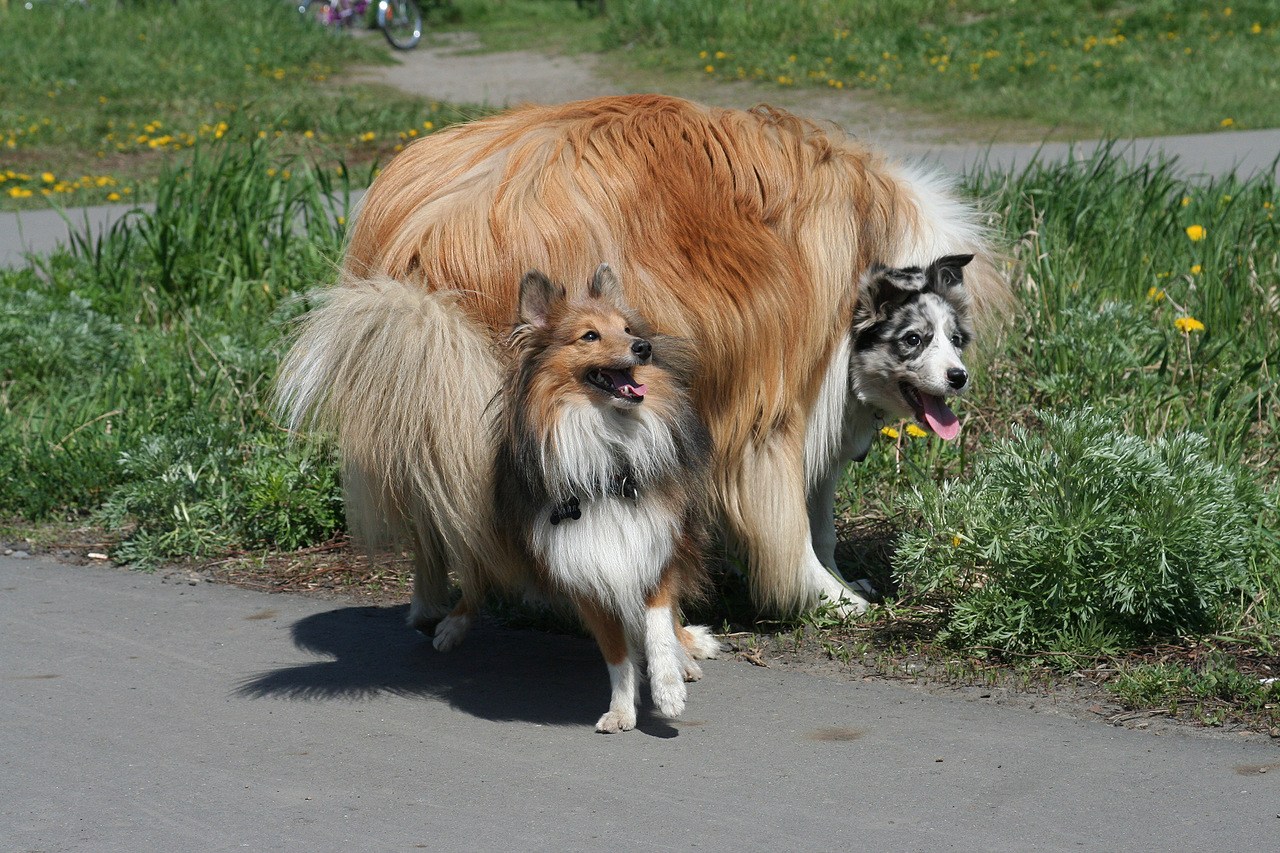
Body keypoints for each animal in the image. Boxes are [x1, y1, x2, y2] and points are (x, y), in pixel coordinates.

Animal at [282, 94, 1008, 625]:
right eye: (914, 339)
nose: (959, 382)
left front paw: (837, 576)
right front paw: (827, 597)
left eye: (957, 338)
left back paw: (432, 605)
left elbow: (821, 509)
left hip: (424, 384)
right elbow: (791, 520)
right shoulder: (774, 391)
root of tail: (423, 236)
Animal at [430, 263, 721, 732]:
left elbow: (658, 622)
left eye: (627, 329)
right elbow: (617, 655)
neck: (609, 460)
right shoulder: (583, 568)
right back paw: (452, 625)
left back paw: (685, 657)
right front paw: (622, 709)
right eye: (589, 336)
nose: (643, 347)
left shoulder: (657, 542)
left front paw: (668, 687)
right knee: (481, 576)